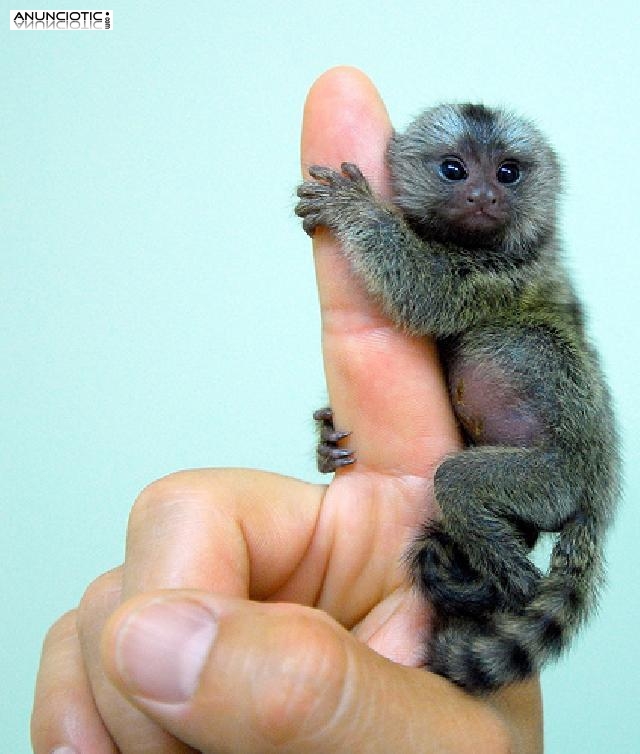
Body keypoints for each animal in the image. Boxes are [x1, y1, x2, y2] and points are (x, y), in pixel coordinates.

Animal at [295, 103, 620, 693]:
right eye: (454, 170)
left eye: (508, 173)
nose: (484, 196)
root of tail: (599, 498)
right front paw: (326, 437)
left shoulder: (503, 273)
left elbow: (425, 291)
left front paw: (356, 209)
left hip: (553, 481)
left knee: (460, 483)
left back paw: (506, 583)